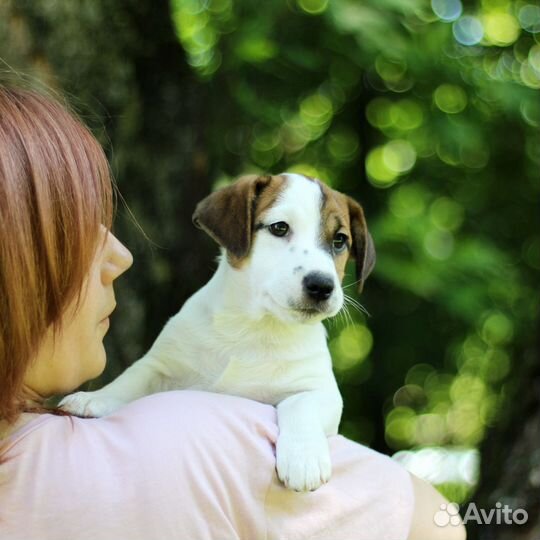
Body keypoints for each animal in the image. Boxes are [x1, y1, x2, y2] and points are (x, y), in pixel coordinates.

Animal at [61, 174, 376, 494]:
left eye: (340, 240)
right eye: (279, 228)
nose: (322, 286)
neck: (254, 327)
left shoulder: (322, 391)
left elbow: (301, 403)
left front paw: (304, 459)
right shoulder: (164, 364)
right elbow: (132, 377)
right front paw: (94, 397)